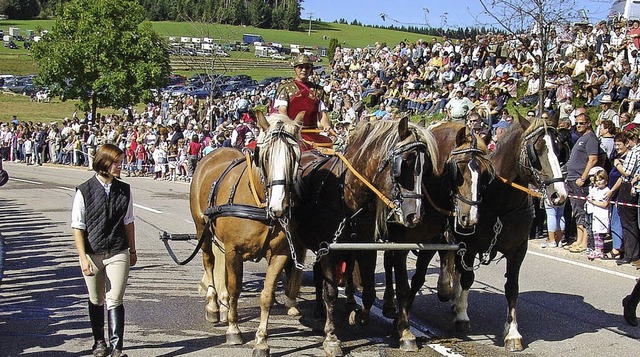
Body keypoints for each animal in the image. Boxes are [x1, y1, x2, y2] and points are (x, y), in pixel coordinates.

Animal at [189, 111, 304, 356]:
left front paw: (261, 341)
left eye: (295, 155)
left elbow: (267, 296)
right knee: (209, 262)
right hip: (202, 230)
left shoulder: (280, 254)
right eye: (265, 156)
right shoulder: (234, 251)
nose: (279, 206)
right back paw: (214, 305)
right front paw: (234, 330)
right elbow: (235, 289)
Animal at [288, 117, 438, 356]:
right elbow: (331, 292)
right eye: (404, 163)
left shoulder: (365, 248)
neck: (347, 193)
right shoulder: (329, 250)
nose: (414, 216)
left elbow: (369, 293)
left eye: (427, 168)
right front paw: (331, 337)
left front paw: (358, 316)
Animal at [380, 120, 496, 350]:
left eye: (487, 174)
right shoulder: (401, 243)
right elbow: (402, 281)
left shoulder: (431, 242)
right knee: (387, 262)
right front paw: (402, 324)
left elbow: (417, 280)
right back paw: (388, 302)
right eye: (457, 169)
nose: (470, 218)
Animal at [442, 114, 568, 350]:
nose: (559, 195)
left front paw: (512, 332)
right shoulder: (470, 246)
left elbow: (512, 287)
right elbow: (468, 278)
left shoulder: (518, 250)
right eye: (536, 149)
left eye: (560, 148)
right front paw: (462, 316)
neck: (500, 202)